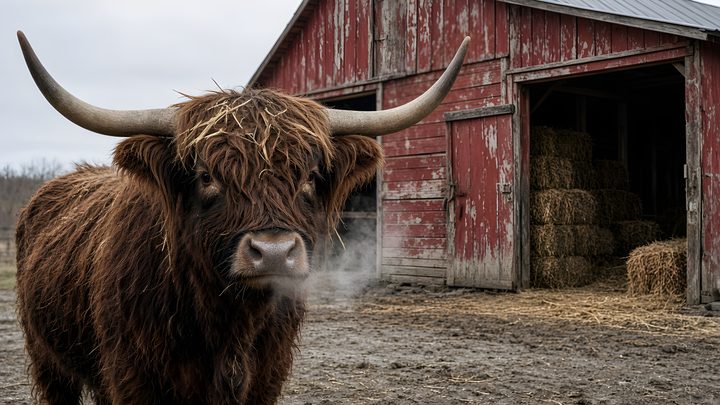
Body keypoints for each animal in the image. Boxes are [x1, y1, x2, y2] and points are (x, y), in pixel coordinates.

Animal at [14, 31, 469, 404]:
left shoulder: (266, 378)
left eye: (309, 176)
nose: (273, 252)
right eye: (206, 176)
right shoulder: (132, 377)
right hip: (47, 359)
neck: (229, 323)